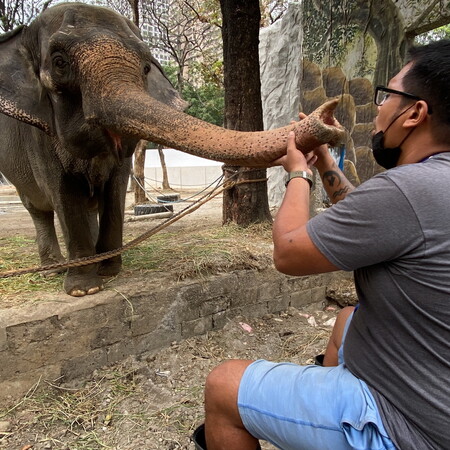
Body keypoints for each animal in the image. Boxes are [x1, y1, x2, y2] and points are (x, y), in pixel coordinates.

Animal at [0, 4, 344, 298]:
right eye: (59, 63)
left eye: (145, 66)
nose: (329, 115)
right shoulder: (37, 133)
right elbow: (63, 191)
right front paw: (85, 289)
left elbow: (115, 188)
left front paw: (110, 271)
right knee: (39, 208)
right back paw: (51, 270)